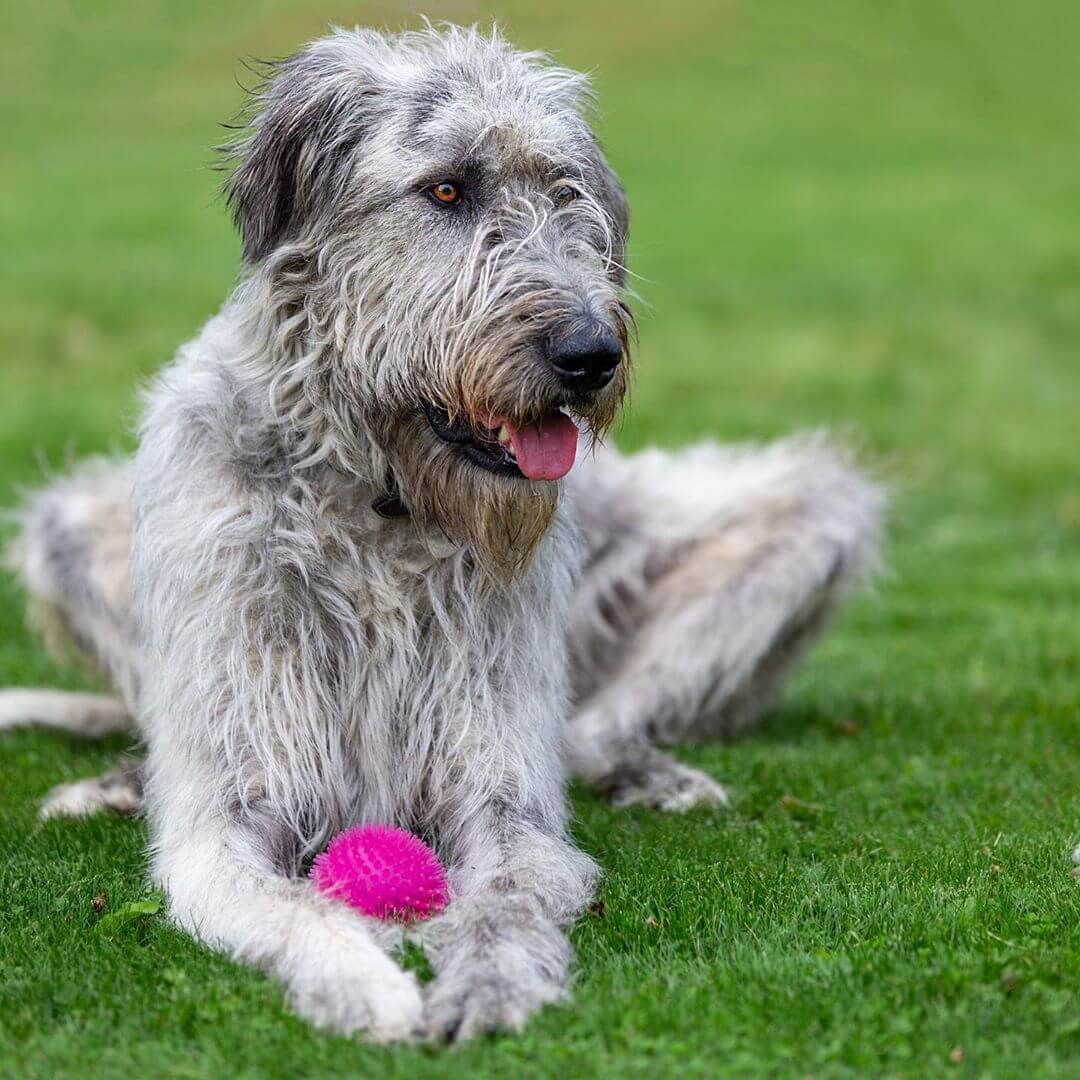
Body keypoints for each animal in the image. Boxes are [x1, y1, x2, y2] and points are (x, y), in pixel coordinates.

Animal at [0, 27, 881, 1045]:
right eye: (448, 190)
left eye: (567, 191)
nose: (590, 356)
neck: (385, 498)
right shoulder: (235, 796)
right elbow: (276, 895)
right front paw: (363, 980)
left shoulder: (499, 795)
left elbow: (509, 888)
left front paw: (489, 983)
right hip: (66, 532)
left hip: (803, 520)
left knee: (592, 729)